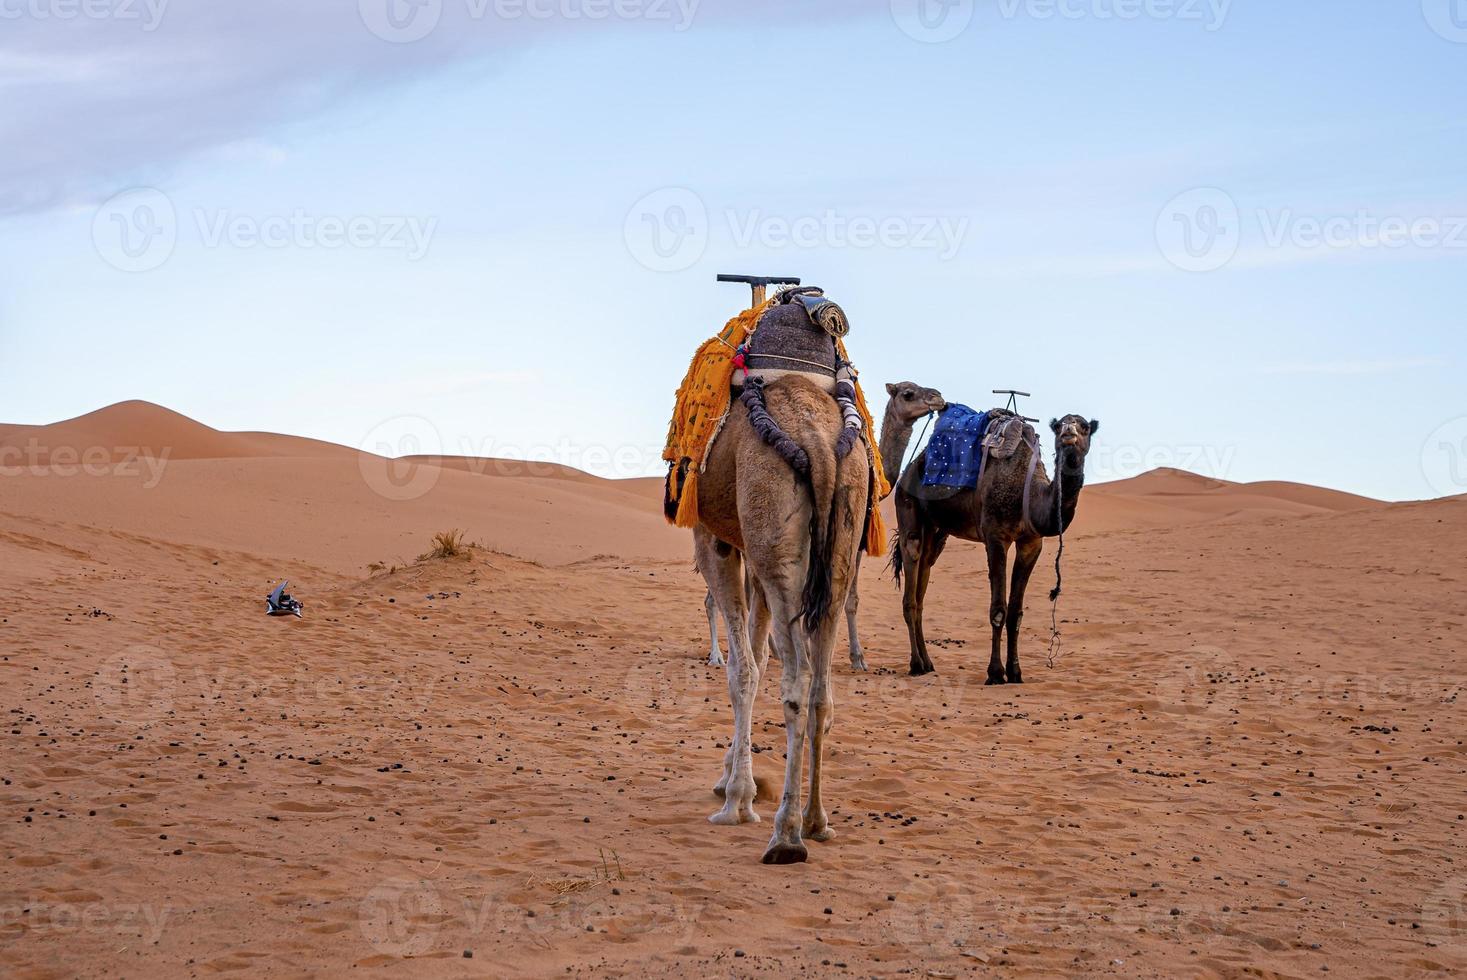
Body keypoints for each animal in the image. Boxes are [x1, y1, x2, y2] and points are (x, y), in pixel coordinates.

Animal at [689, 375, 862, 862]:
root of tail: (818, 442)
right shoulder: (750, 555)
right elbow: (758, 657)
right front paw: (732, 776)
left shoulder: (714, 541)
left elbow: (743, 670)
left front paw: (737, 799)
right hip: (842, 542)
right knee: (821, 688)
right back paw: (816, 821)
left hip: (773, 538)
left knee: (798, 681)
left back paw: (786, 836)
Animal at [692, 381, 944, 674]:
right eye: (908, 394)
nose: (937, 397)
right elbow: (845, 600)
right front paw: (854, 658)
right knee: (718, 597)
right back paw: (718, 656)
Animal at [880, 413, 1103, 680]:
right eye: (1059, 426)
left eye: (1085, 426)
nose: (1069, 431)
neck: (1029, 495)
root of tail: (911, 466)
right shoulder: (996, 537)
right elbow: (998, 610)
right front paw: (995, 673)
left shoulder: (1031, 543)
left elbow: (1016, 612)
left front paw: (1015, 672)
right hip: (907, 504)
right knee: (910, 579)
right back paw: (915, 665)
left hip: (936, 530)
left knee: (924, 576)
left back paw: (927, 663)